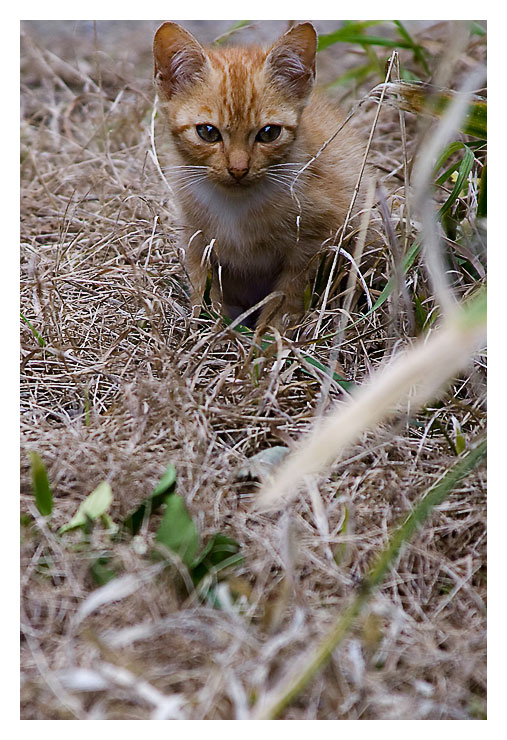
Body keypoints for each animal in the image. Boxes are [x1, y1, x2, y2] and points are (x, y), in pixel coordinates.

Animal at [153, 21, 372, 330]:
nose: (238, 169)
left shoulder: (315, 240)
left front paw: (270, 332)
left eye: (269, 133)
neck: (236, 207)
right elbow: (203, 286)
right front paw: (211, 328)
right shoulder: (195, 237)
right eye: (207, 132)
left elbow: (290, 291)